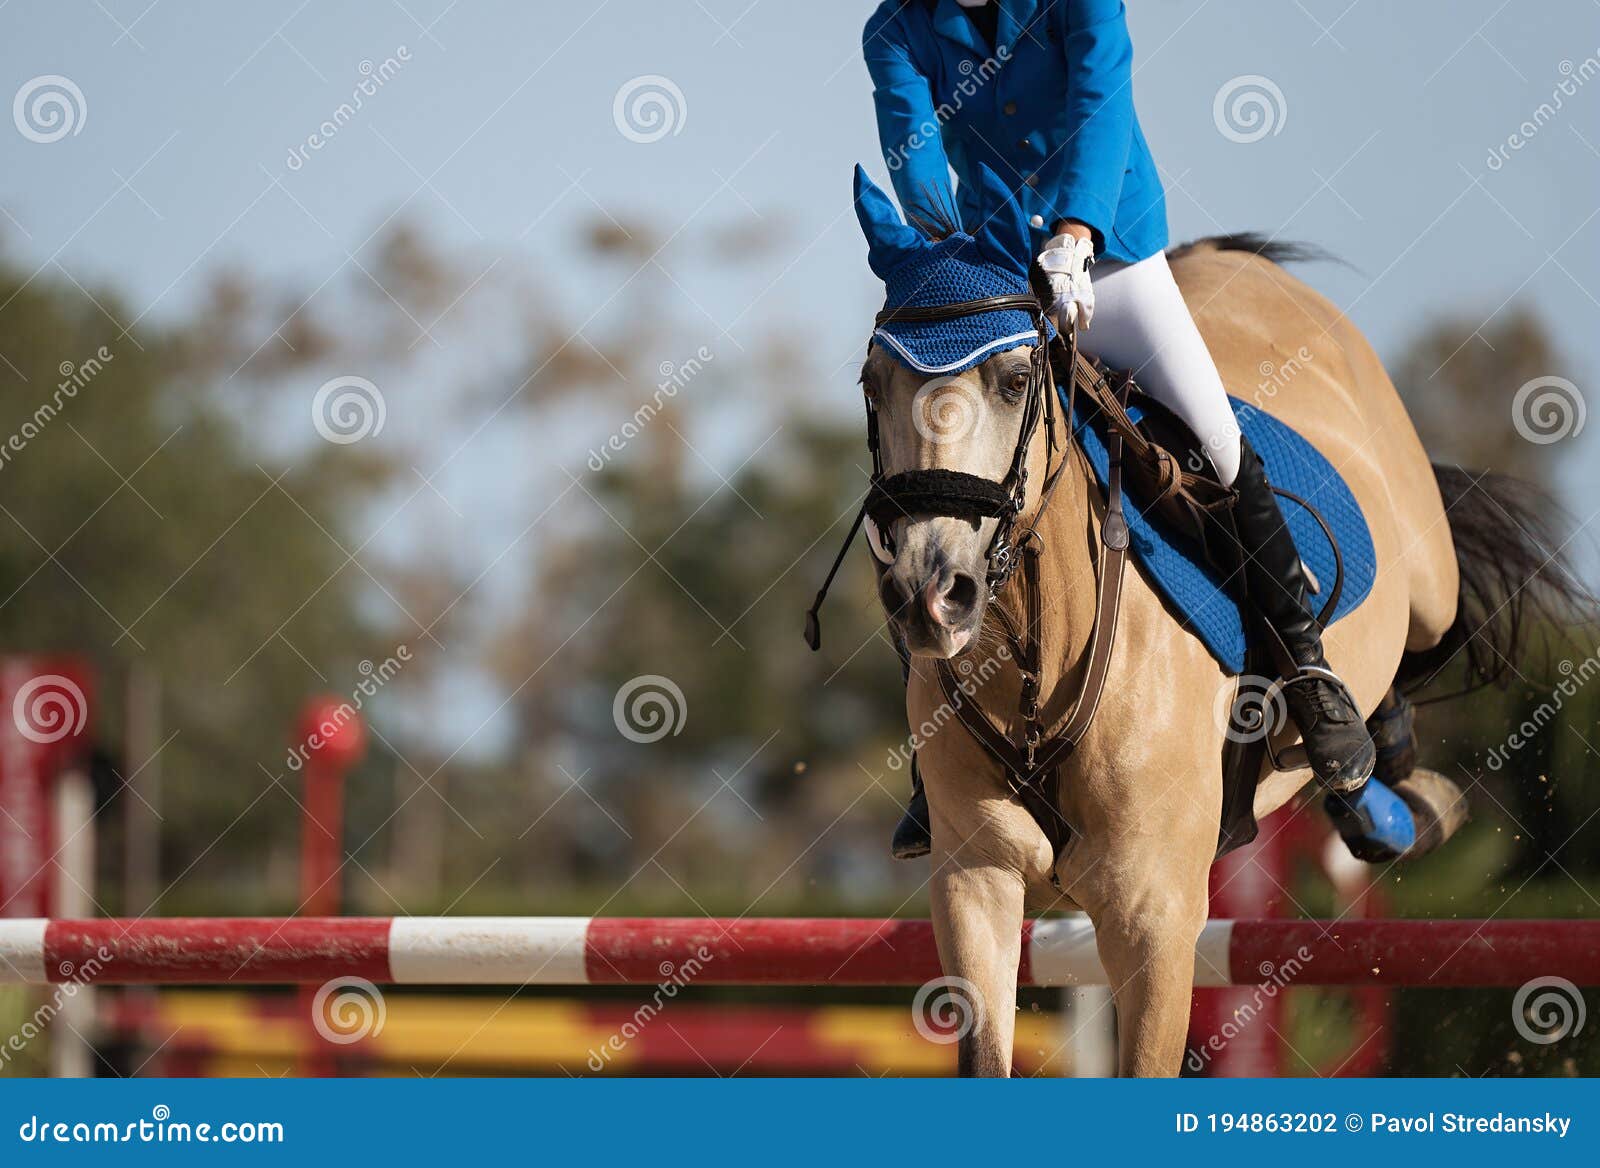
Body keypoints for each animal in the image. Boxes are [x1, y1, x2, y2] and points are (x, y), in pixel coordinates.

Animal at [857, 227, 1580, 1075]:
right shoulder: (976, 889)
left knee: (1411, 634)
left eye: (1012, 383)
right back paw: (1379, 802)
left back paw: (1365, 759)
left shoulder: (1155, 916)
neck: (1039, 665)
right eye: (872, 386)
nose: (928, 594)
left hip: (1428, 578)